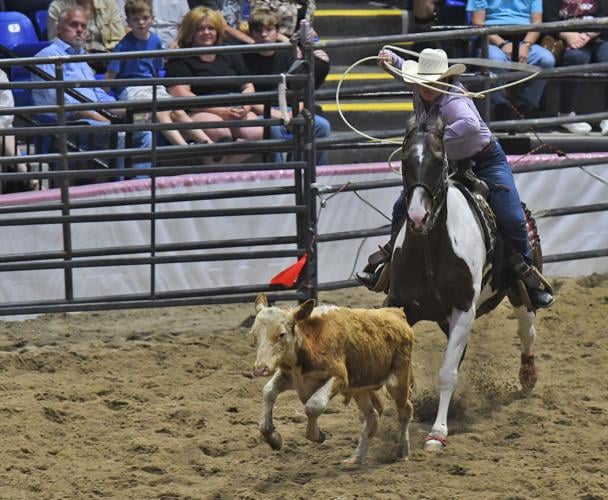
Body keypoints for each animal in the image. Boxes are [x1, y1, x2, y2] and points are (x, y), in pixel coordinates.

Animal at [251, 292, 414, 464]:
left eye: (281, 334)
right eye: (254, 334)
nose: (260, 369)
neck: (311, 341)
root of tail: (396, 313)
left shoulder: (339, 377)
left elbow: (314, 405)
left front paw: (317, 436)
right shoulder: (290, 377)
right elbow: (269, 391)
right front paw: (273, 437)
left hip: (398, 381)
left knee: (405, 410)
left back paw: (403, 451)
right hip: (360, 387)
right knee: (372, 416)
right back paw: (356, 458)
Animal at [388, 117, 540, 454]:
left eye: (438, 161)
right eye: (404, 161)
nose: (417, 216)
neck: (430, 251)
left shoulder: (463, 310)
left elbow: (448, 372)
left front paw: (437, 433)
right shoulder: (398, 305)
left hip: (518, 292)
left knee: (527, 331)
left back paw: (528, 375)